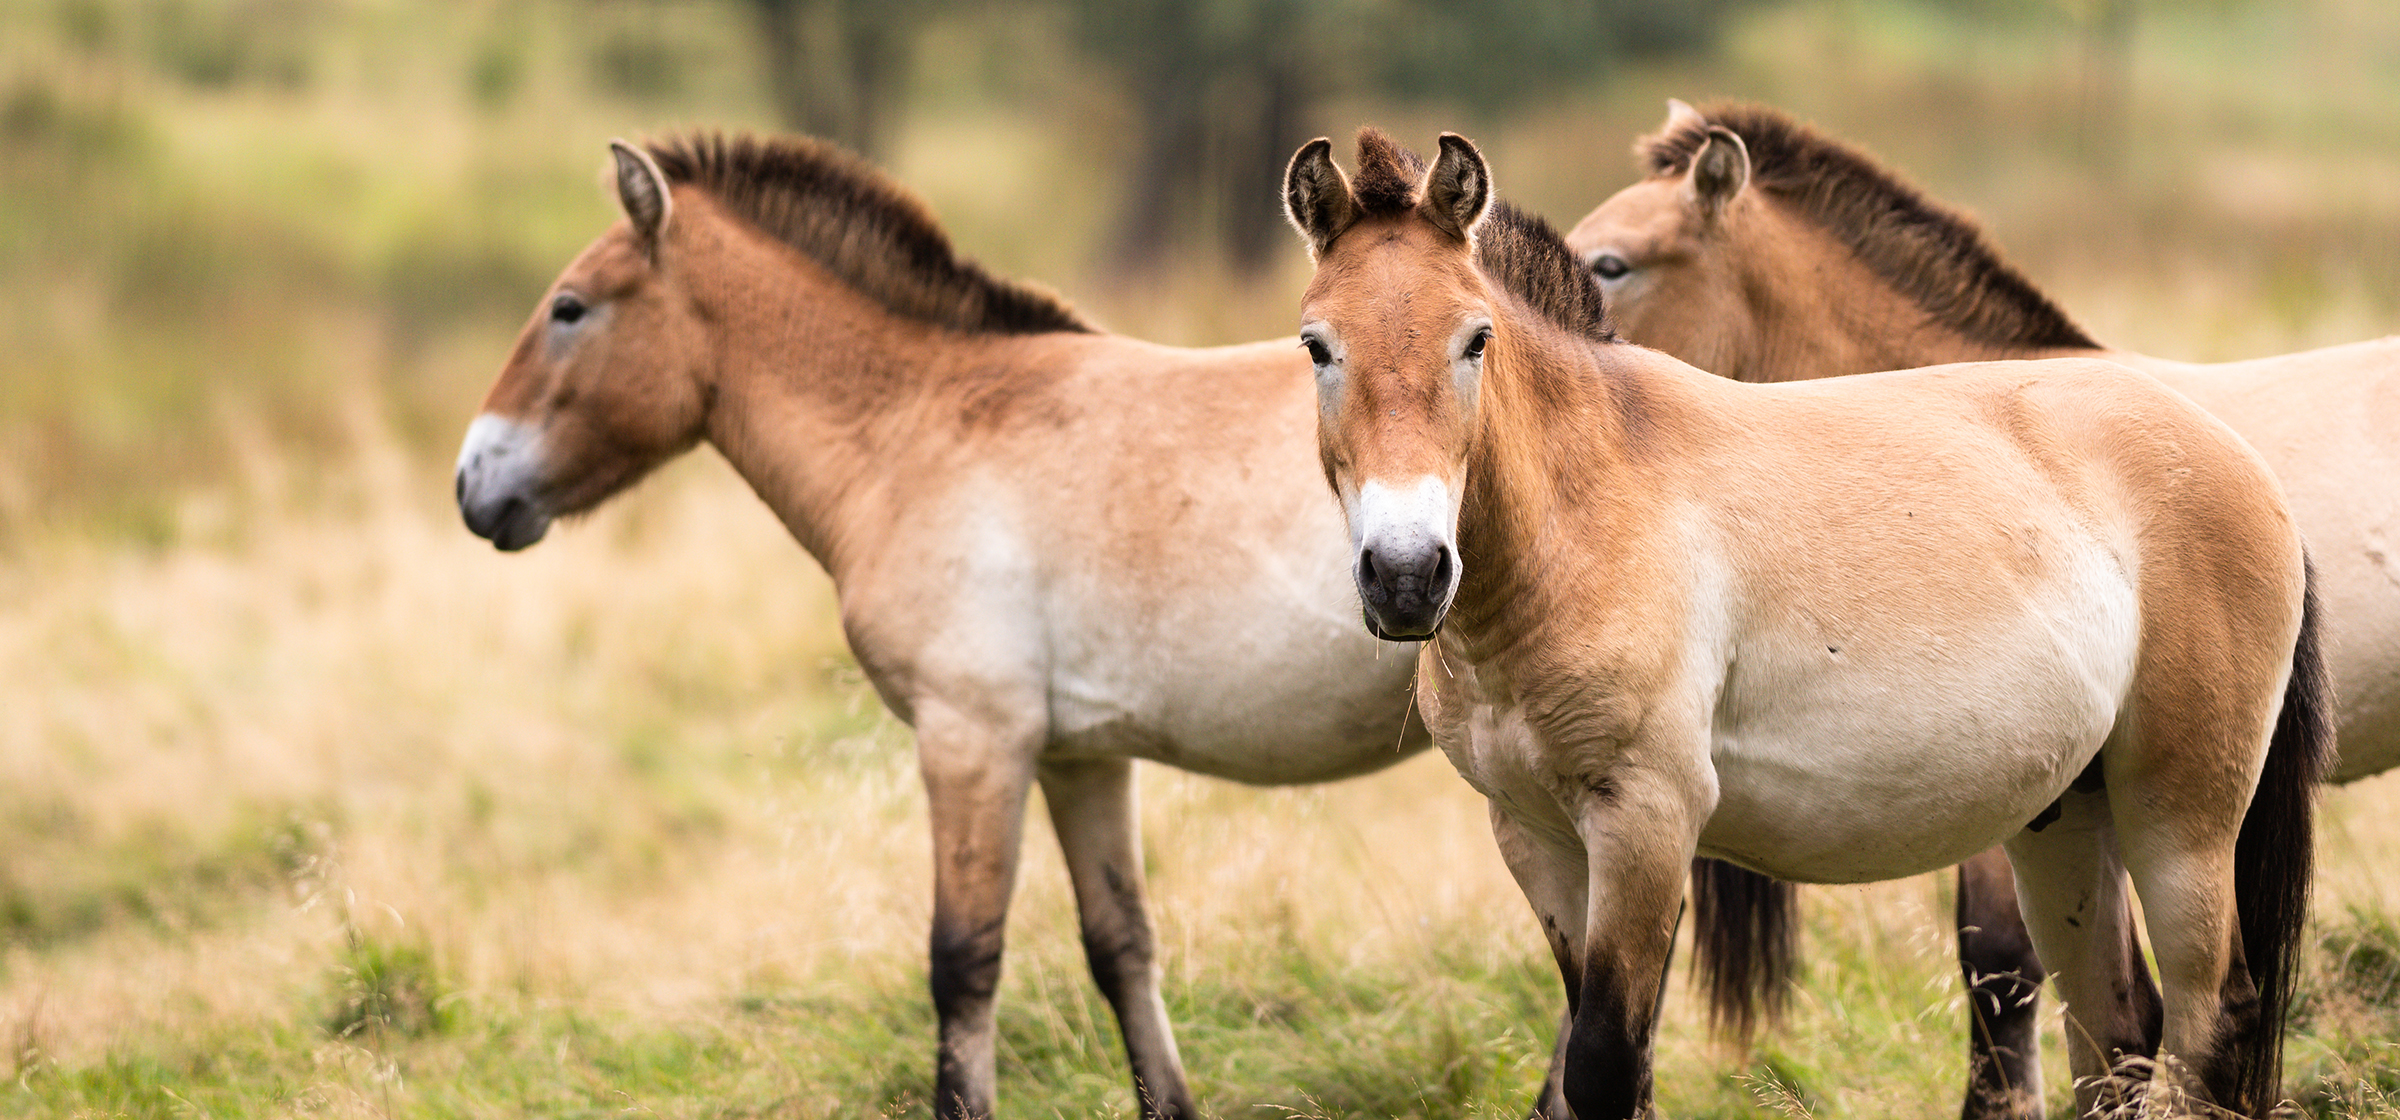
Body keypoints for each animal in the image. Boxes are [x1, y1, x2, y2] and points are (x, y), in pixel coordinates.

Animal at [453, 133, 1442, 1120]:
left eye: (569, 309)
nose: (473, 483)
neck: (916, 429)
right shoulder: (1081, 756)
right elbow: (1121, 948)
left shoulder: (972, 738)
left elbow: (962, 961)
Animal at [1284, 128, 2329, 1120]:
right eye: (1316, 347)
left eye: (1475, 340)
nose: (1408, 576)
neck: (1583, 511)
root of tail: (2239, 459)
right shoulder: (1536, 837)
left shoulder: (1645, 822)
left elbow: (1606, 1067)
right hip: (2065, 818)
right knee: (2117, 1036)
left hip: (2181, 824)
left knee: (2213, 1018)